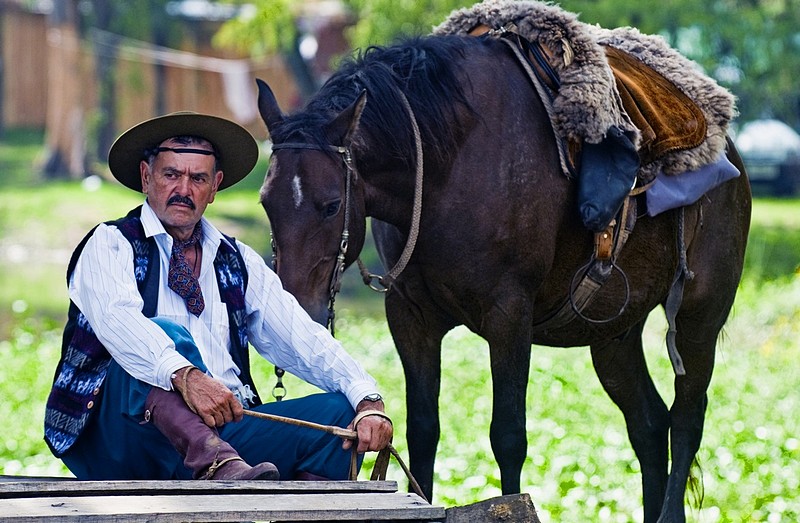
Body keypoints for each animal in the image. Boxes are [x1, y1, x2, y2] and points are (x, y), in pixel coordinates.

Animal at [255, 33, 752, 523]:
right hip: (614, 335)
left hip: (699, 318)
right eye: (266, 202)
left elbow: (508, 435)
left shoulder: (509, 316)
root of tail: (730, 157)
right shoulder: (410, 316)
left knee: (686, 419)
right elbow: (422, 429)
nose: (298, 304)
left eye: (331, 205)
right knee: (649, 425)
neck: (443, 166)